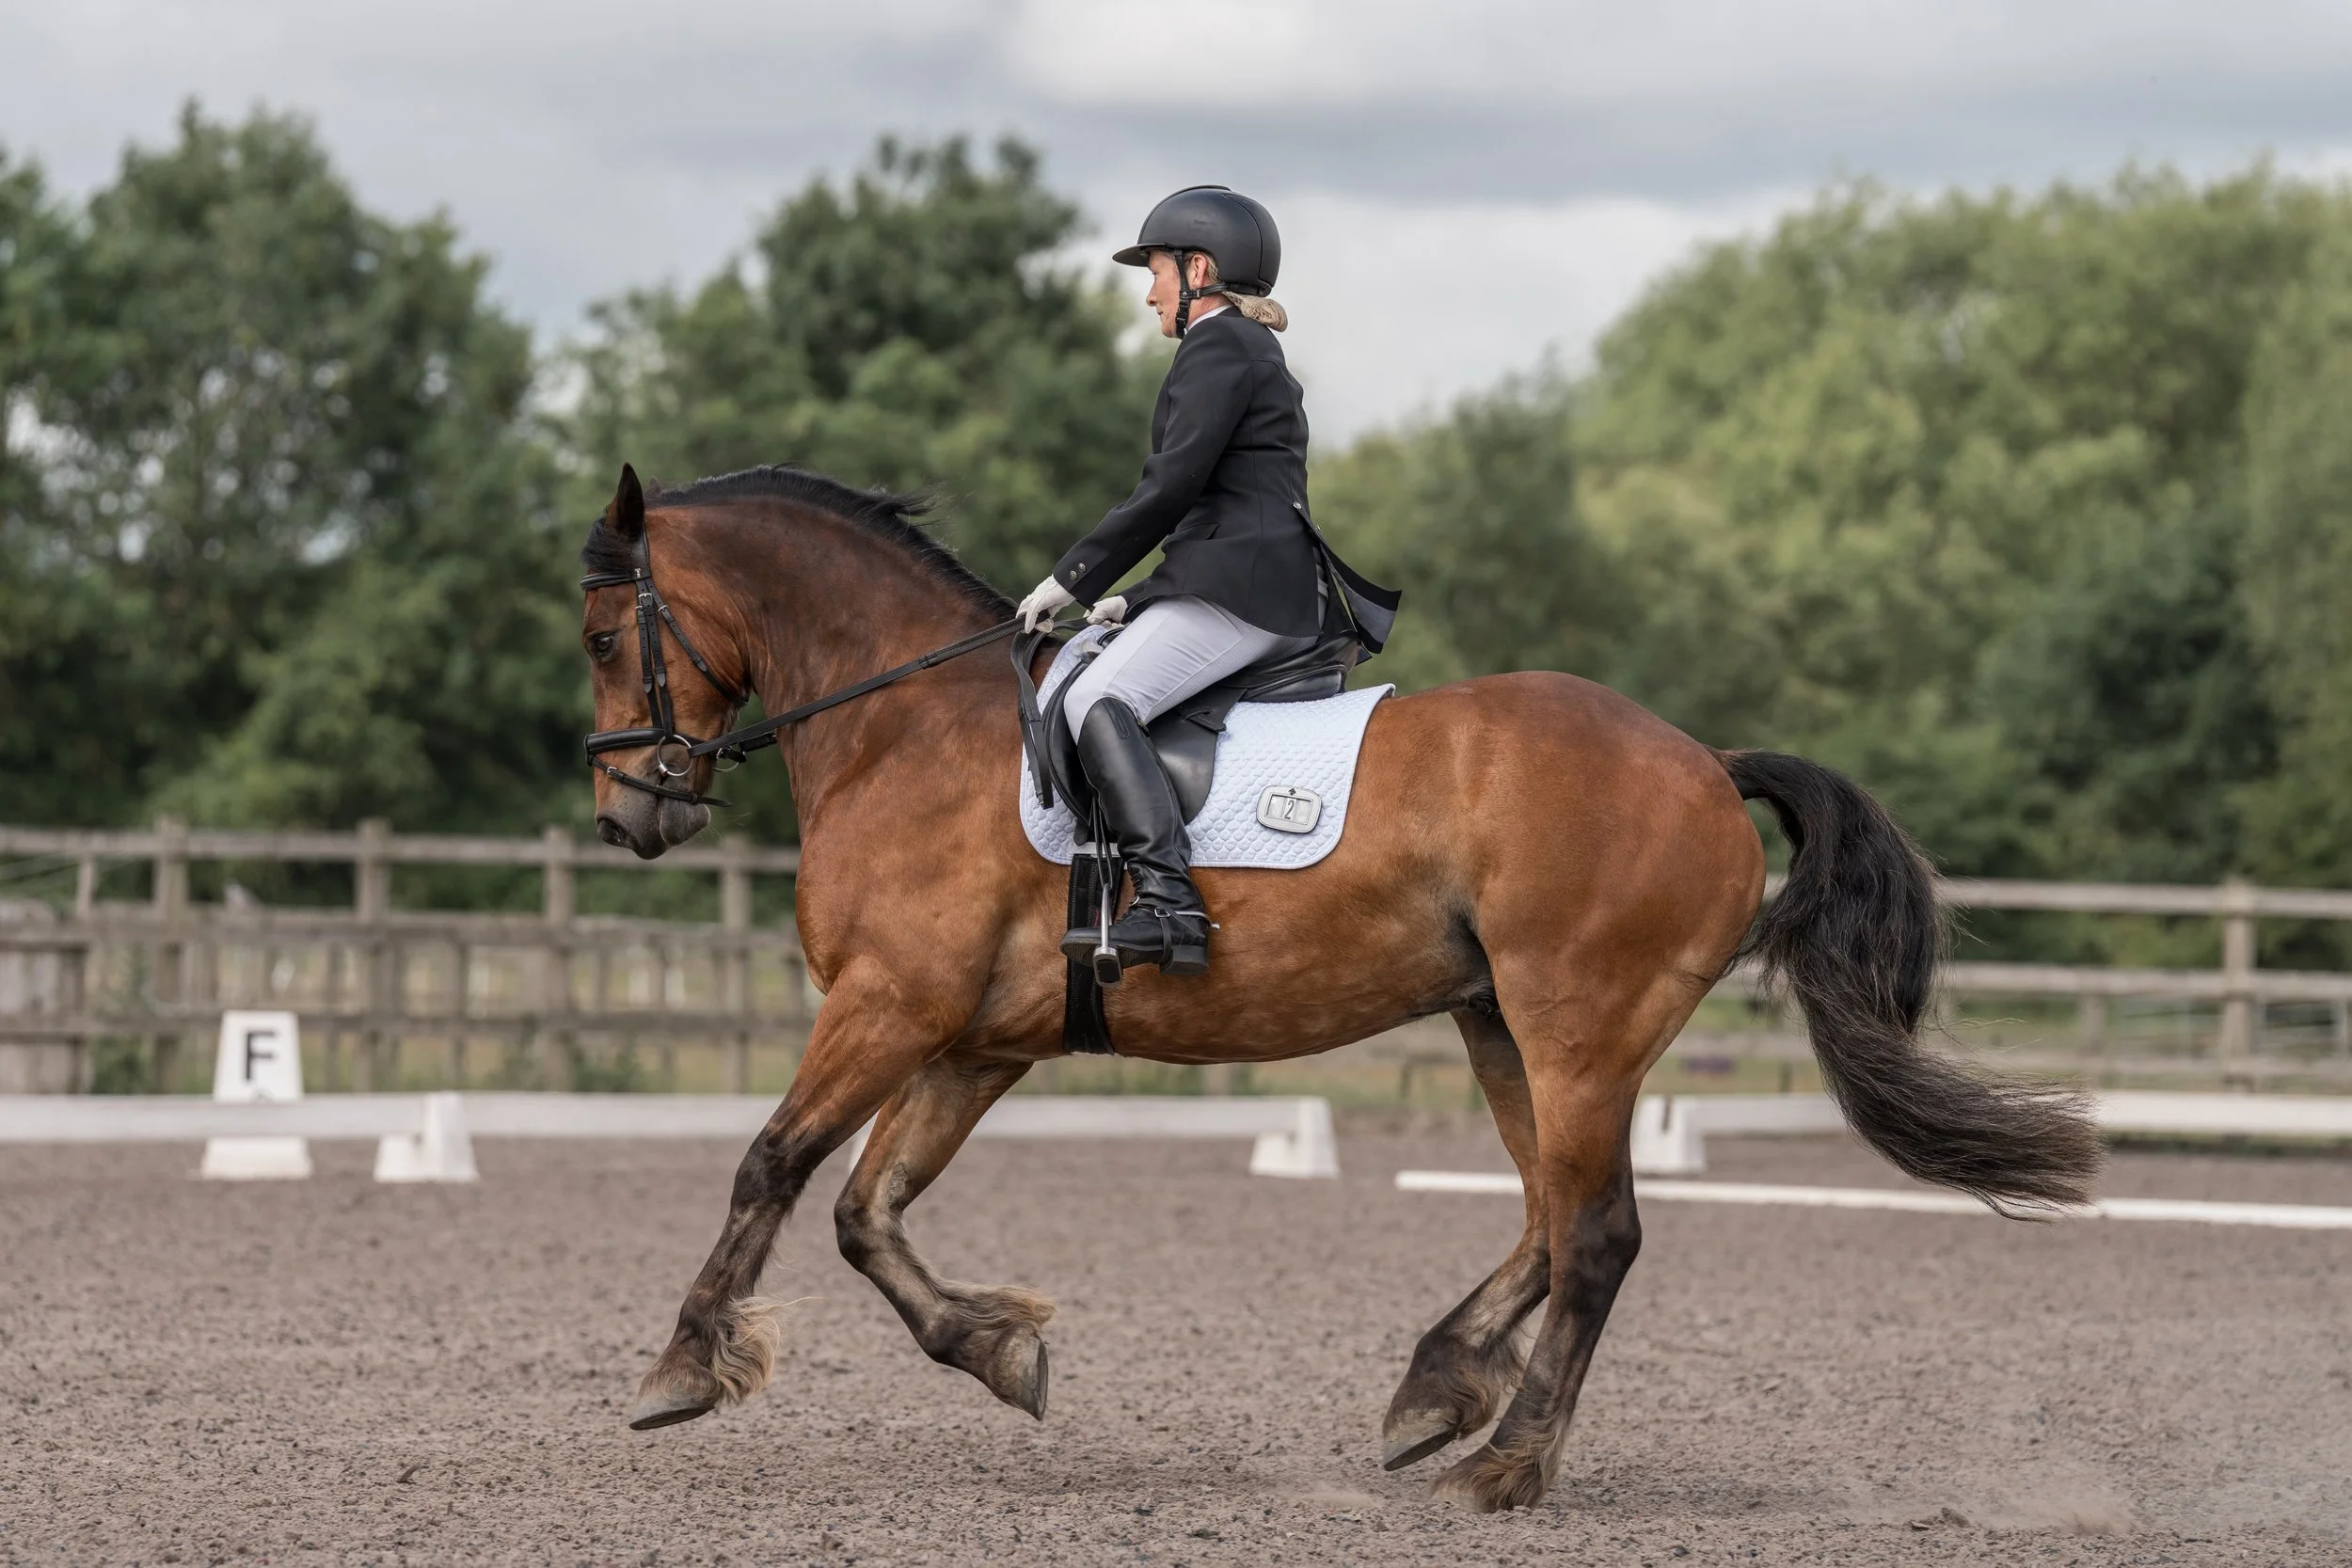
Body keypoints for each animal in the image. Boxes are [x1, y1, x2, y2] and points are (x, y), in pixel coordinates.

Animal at [578, 461, 2100, 1512]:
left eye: (601, 637)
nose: (630, 815)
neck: (905, 726)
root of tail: (1703, 764)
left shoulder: (888, 1004)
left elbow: (771, 1165)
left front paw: (678, 1371)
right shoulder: (970, 1039)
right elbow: (863, 1210)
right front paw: (999, 1348)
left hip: (1578, 1031)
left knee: (1598, 1235)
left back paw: (1507, 1465)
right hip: (1502, 1028)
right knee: (1548, 1220)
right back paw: (1436, 1392)